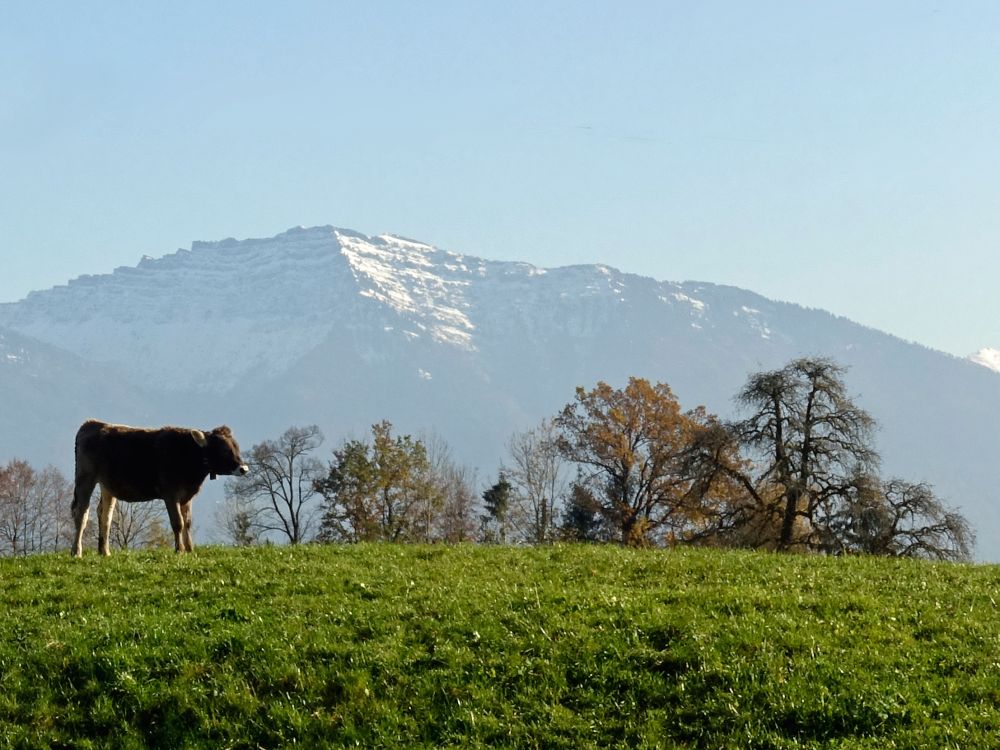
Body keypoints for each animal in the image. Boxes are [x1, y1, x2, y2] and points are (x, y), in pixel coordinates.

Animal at [72, 424, 248, 560]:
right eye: (224, 450)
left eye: (236, 447)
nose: (244, 468)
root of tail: (91, 423)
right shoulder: (171, 494)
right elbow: (178, 523)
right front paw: (179, 550)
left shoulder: (187, 496)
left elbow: (188, 523)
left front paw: (190, 549)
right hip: (85, 478)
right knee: (81, 513)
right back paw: (76, 552)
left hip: (107, 486)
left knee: (105, 516)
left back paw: (105, 552)